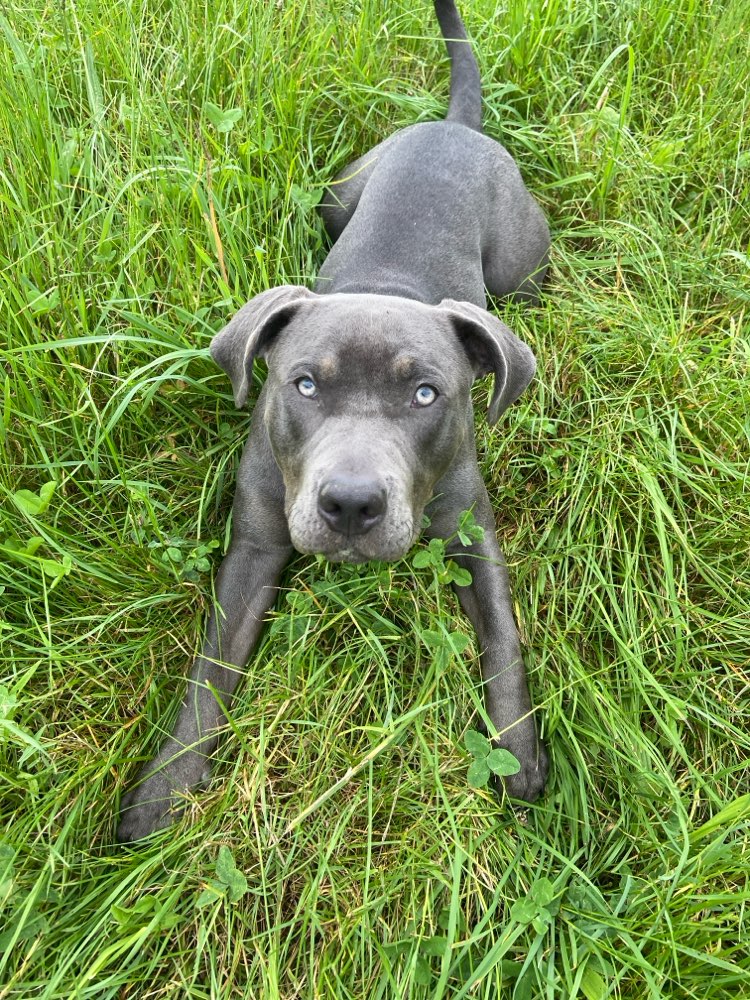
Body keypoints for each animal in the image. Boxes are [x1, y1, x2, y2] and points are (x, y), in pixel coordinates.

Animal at [117, 0, 552, 844]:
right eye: (306, 384)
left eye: (427, 396)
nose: (351, 504)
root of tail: (454, 126)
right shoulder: (255, 545)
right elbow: (210, 669)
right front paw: (164, 787)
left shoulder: (470, 531)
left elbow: (502, 635)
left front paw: (518, 749)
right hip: (336, 195)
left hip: (523, 271)